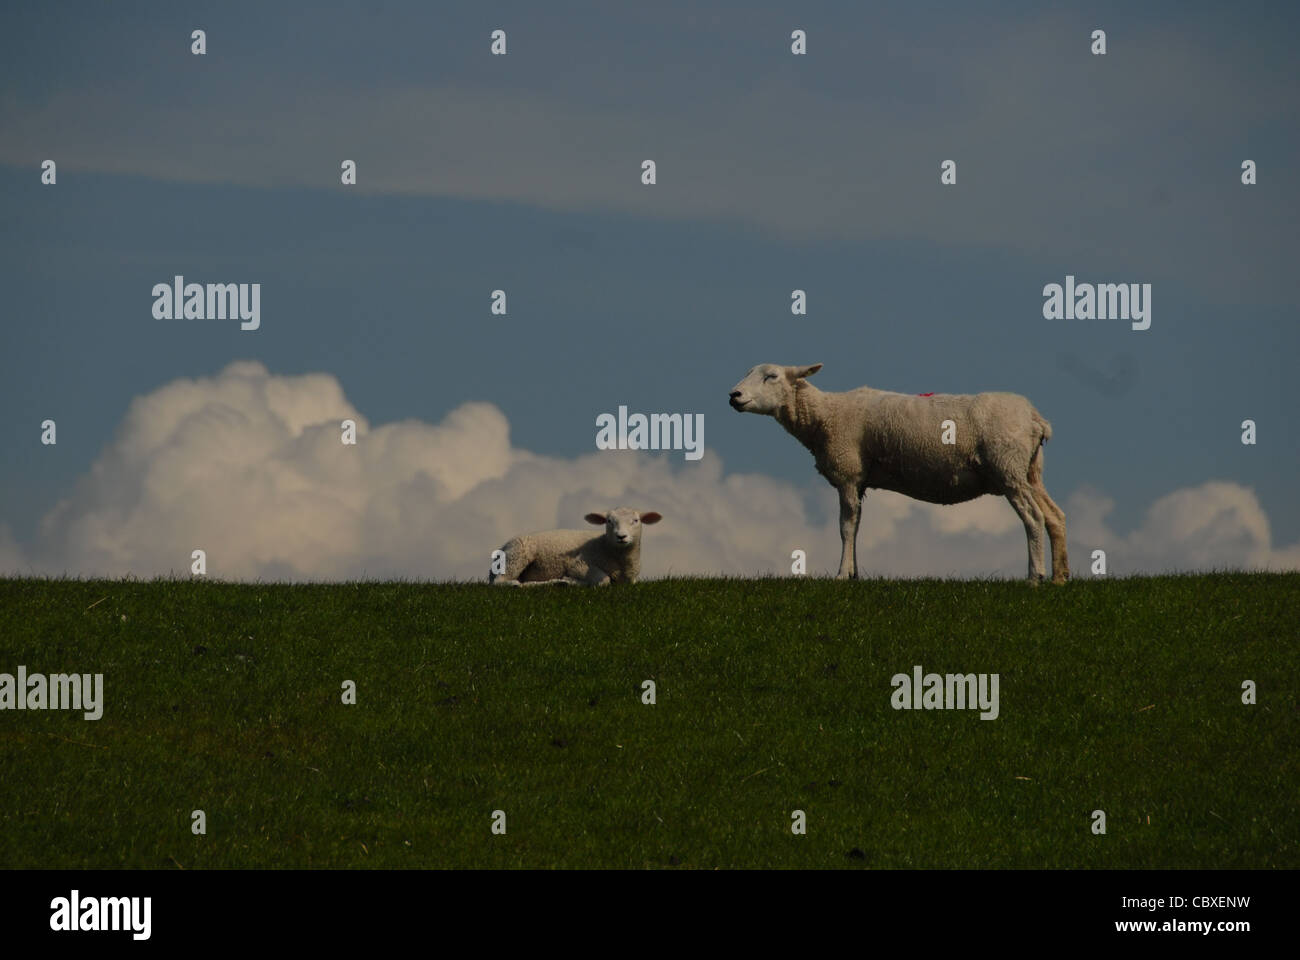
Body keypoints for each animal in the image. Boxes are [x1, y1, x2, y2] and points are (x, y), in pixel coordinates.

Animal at [488, 509, 665, 582]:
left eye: (636, 521)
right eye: (609, 521)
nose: (621, 536)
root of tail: (502, 547)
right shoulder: (579, 564)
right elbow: (604, 579)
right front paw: (572, 580)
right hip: (518, 556)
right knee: (501, 582)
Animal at [728, 361, 1071, 580]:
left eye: (771, 376)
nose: (734, 396)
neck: (824, 415)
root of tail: (1036, 419)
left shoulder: (848, 473)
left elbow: (845, 527)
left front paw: (840, 575)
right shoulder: (860, 481)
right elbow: (857, 525)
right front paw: (854, 573)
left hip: (1007, 467)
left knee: (1033, 517)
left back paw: (1035, 576)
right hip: (1029, 472)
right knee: (1055, 516)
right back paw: (1060, 577)